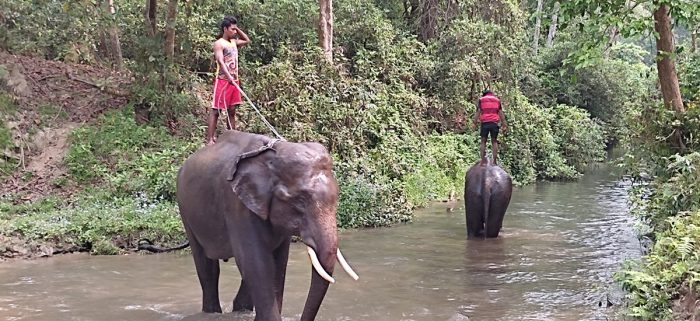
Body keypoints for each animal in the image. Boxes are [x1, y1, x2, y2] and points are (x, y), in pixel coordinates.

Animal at [175, 130, 360, 320]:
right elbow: (256, 263)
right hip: (186, 211)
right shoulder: (237, 205)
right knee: (208, 268)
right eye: (299, 201)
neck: (273, 154)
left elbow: (278, 262)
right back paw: (211, 312)